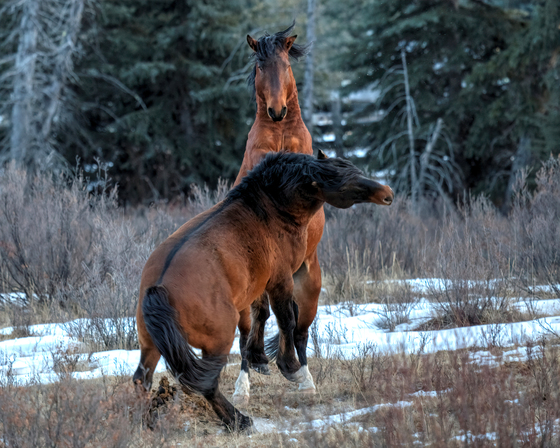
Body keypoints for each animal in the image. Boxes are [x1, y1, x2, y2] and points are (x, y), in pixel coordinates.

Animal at [133, 151, 394, 431]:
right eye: (344, 185)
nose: (387, 193)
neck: (267, 211)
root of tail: (158, 288)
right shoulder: (281, 281)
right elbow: (287, 321)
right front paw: (290, 368)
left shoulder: (256, 288)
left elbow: (259, 320)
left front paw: (259, 359)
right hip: (217, 342)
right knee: (205, 383)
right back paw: (238, 420)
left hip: (152, 346)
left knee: (142, 379)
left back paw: (148, 422)